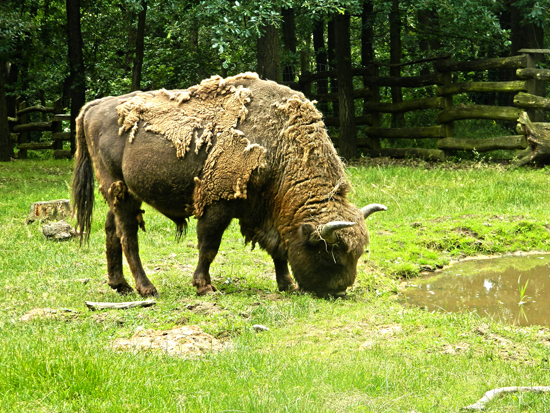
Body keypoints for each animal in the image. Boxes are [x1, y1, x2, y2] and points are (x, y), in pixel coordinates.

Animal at [72, 71, 388, 296]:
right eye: (330, 252)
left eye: (358, 253)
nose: (339, 290)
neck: (279, 145)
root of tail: (93, 106)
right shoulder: (219, 205)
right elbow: (209, 246)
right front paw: (205, 286)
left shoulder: (262, 212)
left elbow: (278, 249)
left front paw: (287, 284)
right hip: (120, 190)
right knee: (128, 235)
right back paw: (147, 288)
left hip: (121, 193)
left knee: (112, 230)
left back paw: (120, 285)